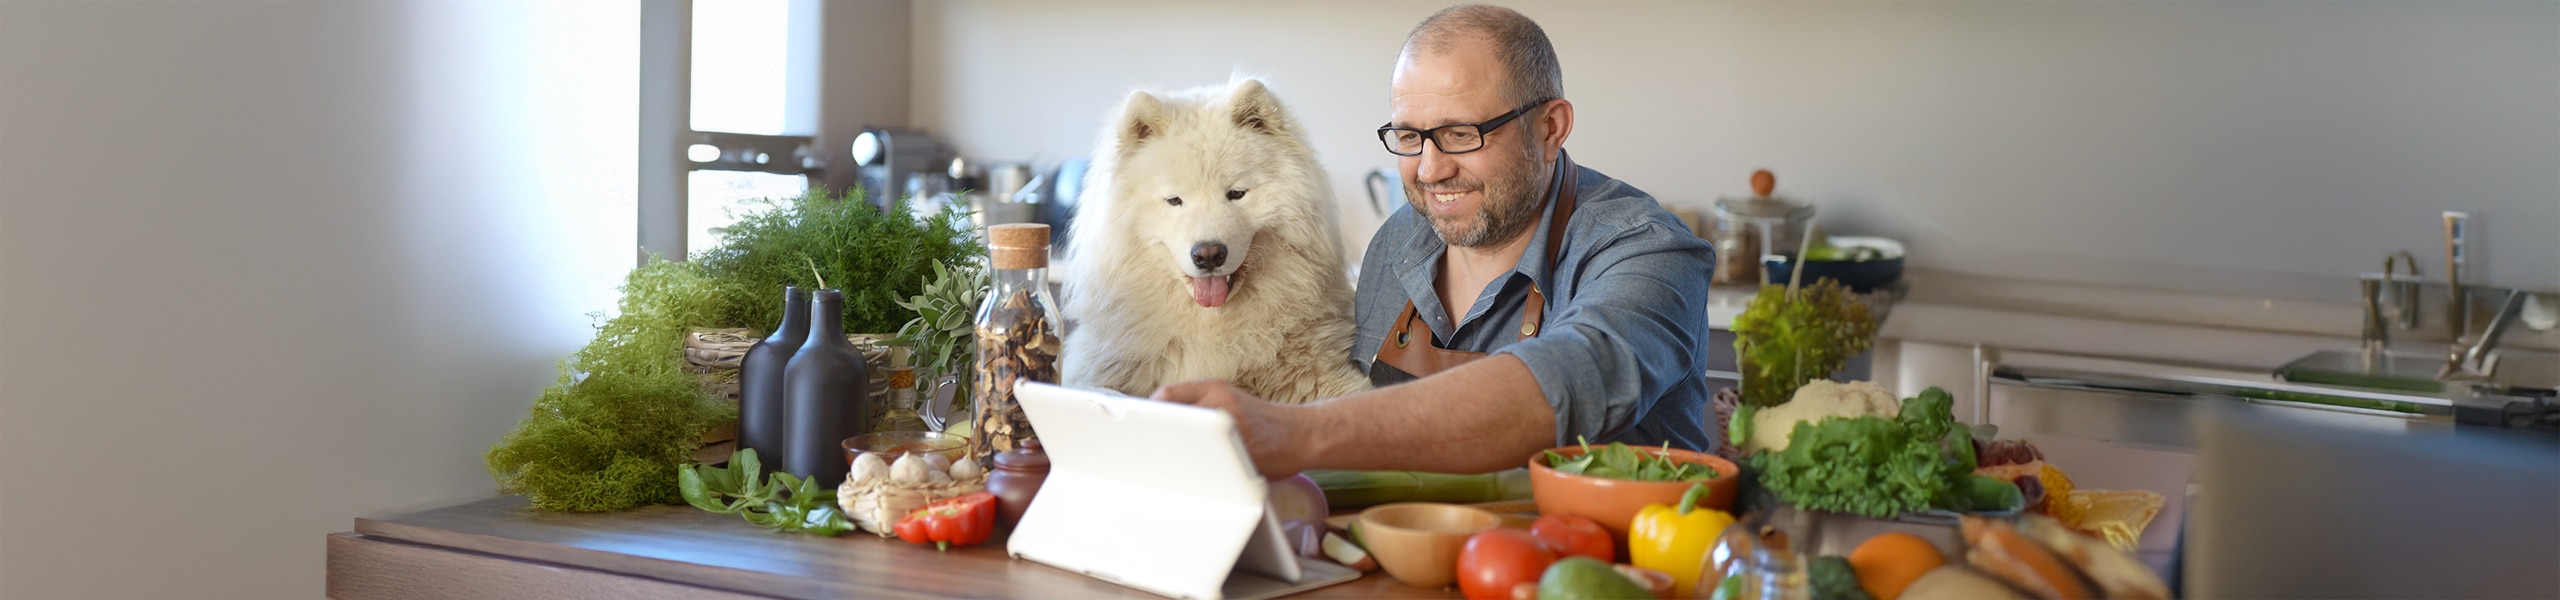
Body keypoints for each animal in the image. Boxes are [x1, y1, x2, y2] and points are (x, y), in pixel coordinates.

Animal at [1059, 78, 1382, 402]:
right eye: (1174, 200)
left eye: (1236, 194)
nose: (1209, 255)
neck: (1210, 329)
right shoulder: (1093, 369)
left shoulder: (1323, 376)